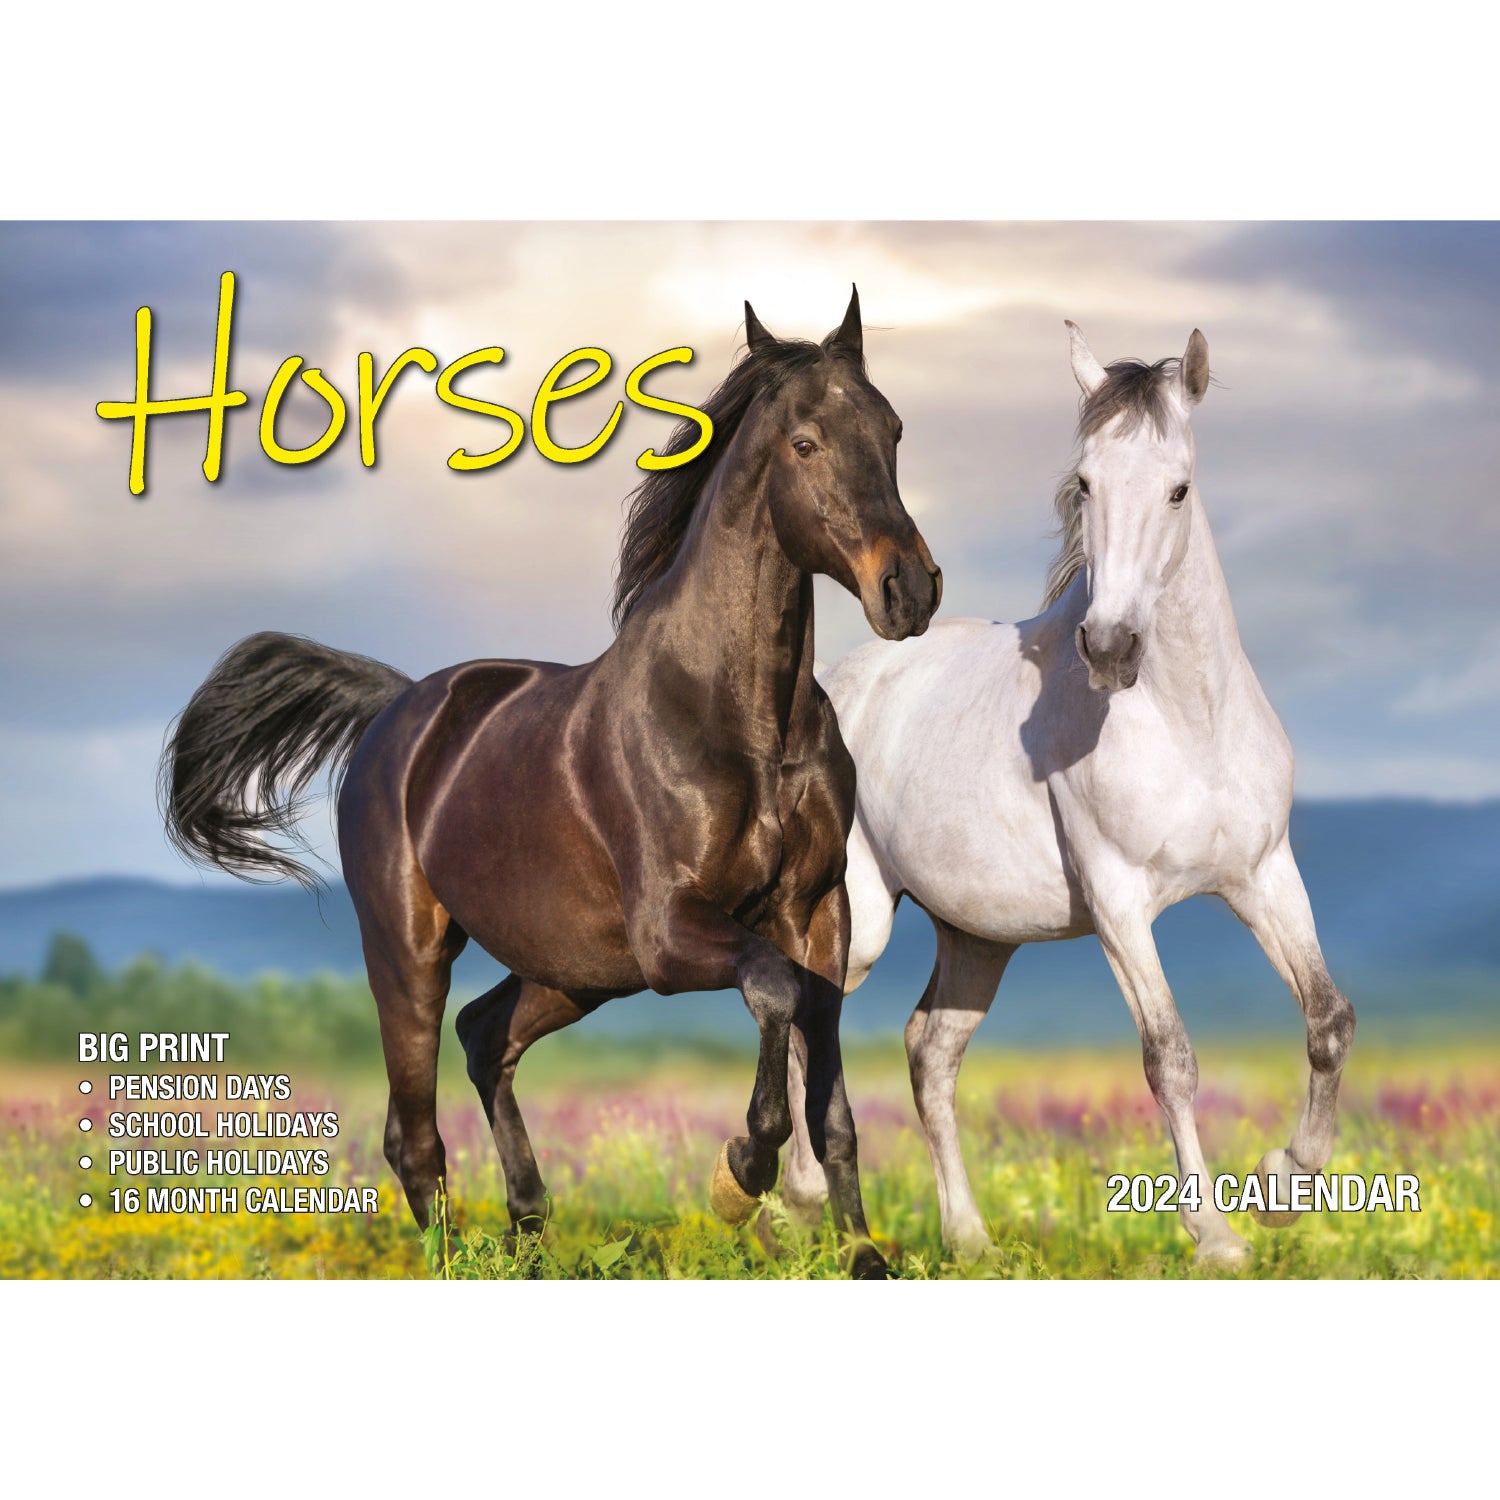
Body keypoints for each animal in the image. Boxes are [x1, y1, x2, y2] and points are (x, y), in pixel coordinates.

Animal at [160, 288, 942, 1279]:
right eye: (805, 442)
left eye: (893, 428)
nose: (910, 590)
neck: (742, 722)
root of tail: (396, 709)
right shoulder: (671, 931)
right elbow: (771, 995)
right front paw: (739, 1172)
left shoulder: (816, 915)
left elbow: (829, 1094)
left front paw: (863, 1256)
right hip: (412, 952)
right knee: (414, 1132)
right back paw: (461, 1255)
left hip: (575, 971)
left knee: (484, 1038)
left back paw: (530, 1225)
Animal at [778, 322, 1355, 1268]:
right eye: (1085, 483)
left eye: (1178, 487)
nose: (1111, 646)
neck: (1188, 721)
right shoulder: (1120, 903)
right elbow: (1170, 1057)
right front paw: (1216, 1237)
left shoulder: (1264, 875)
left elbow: (1327, 1021)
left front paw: (1282, 1183)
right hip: (858, 920)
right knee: (808, 1016)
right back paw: (793, 1200)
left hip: (978, 938)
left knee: (929, 1051)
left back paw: (969, 1238)